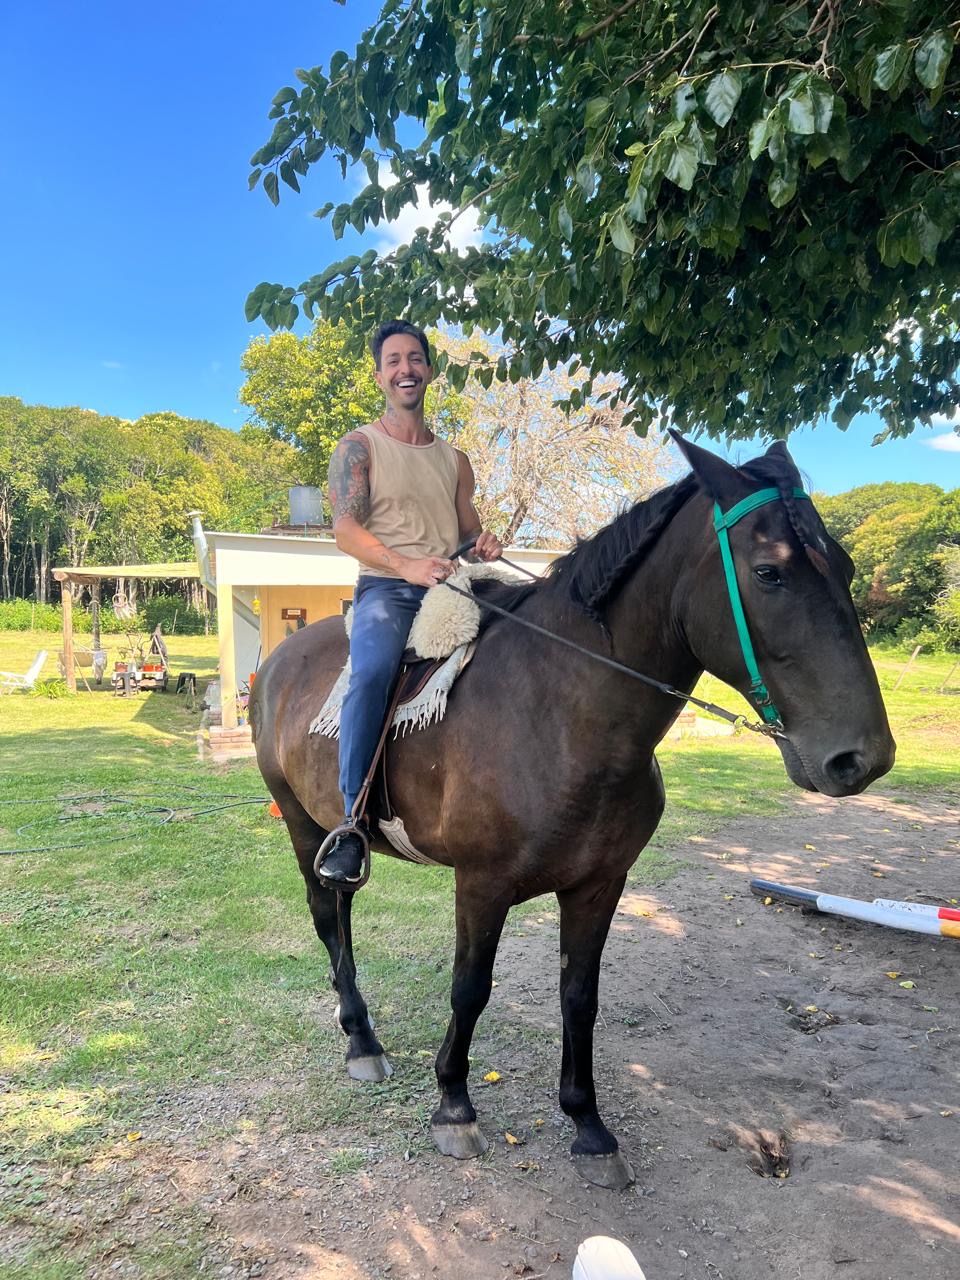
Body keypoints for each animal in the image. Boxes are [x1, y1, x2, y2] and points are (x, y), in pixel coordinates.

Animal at [249, 435, 895, 1190]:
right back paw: (361, 1040)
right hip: (305, 826)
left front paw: (588, 1125)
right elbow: (470, 989)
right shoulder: (482, 885)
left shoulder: (599, 884)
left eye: (845, 567)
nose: (863, 759)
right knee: (329, 919)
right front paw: (454, 1106)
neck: (562, 711)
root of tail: (282, 657)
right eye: (769, 572)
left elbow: (580, 997)